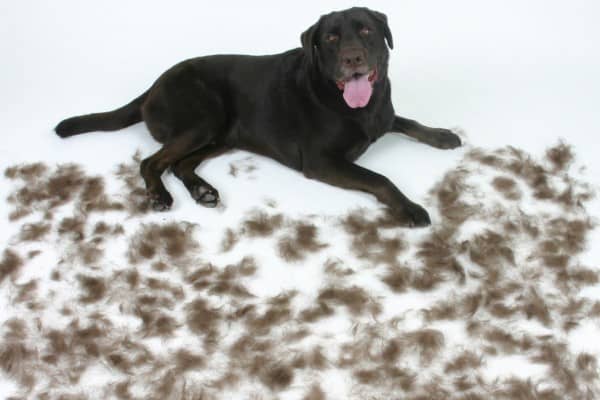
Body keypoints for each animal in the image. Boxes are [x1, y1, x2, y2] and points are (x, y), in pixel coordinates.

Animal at [56, 7, 460, 225]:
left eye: (365, 29)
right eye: (330, 38)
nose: (352, 58)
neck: (356, 106)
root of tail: (154, 84)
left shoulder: (383, 115)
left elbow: (409, 122)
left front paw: (443, 135)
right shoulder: (321, 161)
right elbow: (379, 178)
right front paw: (410, 208)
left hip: (223, 133)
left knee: (181, 164)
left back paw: (203, 191)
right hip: (204, 117)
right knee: (152, 162)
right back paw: (159, 195)